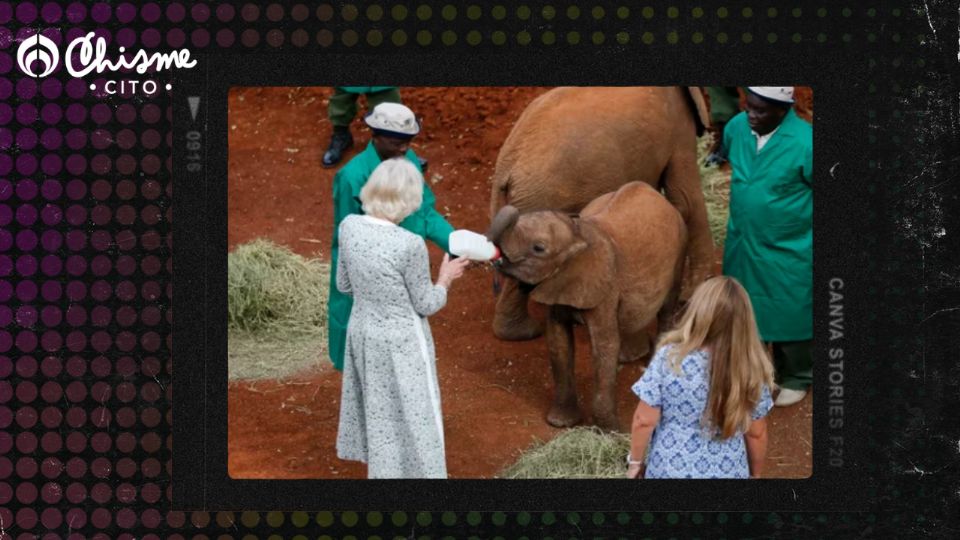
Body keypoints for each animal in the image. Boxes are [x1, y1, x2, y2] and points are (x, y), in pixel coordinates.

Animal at [492, 86, 708, 340]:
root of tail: (506, 167)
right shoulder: (678, 126)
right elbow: (686, 201)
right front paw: (693, 296)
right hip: (540, 198)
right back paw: (528, 331)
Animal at [492, 181, 688, 430]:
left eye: (538, 248)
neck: (578, 234)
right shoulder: (560, 284)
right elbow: (558, 341)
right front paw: (560, 422)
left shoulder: (606, 288)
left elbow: (604, 346)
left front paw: (610, 430)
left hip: (680, 248)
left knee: (667, 309)